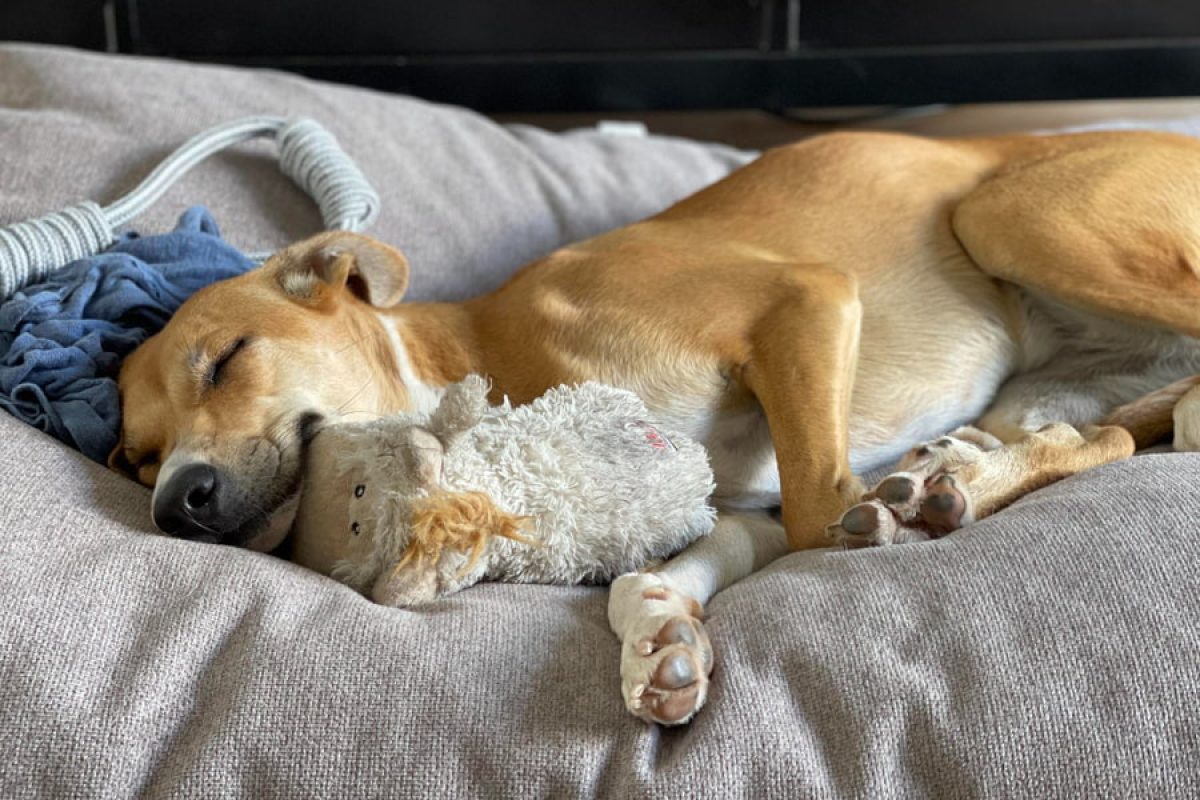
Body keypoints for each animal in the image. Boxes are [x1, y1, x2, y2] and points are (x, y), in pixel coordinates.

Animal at [110, 131, 1200, 724]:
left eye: (225, 357)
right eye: (138, 458)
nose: (179, 502)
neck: (496, 360)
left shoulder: (804, 299)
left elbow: (823, 510)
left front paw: (891, 514)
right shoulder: (739, 507)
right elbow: (667, 569)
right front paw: (660, 641)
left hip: (1014, 215)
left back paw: (946, 486)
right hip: (1053, 374)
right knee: (1106, 438)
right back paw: (968, 465)